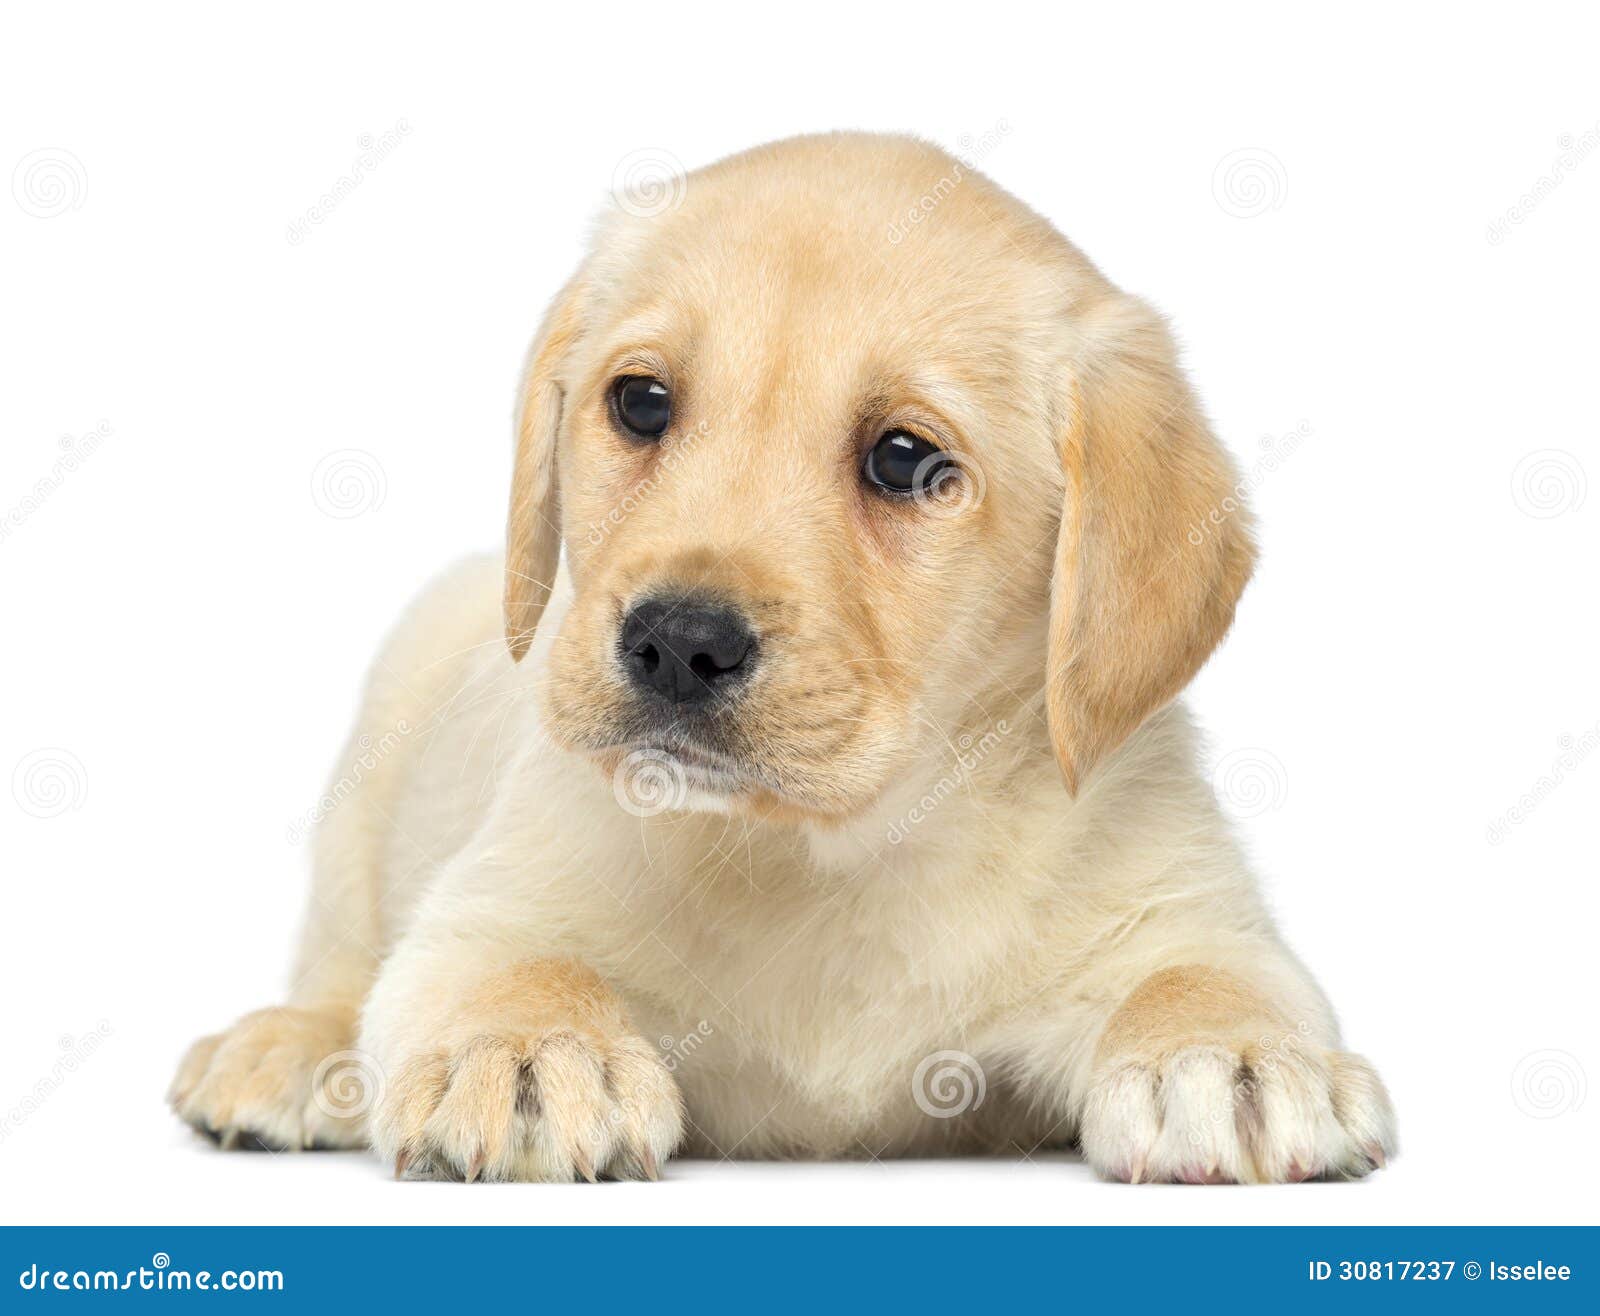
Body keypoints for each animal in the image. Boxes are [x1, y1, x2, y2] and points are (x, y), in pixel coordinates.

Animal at [168, 131, 1401, 1184]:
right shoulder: (487, 902)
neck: (830, 851)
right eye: (641, 402)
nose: (676, 641)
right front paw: (519, 1051)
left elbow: (1205, 972)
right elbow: (515, 961)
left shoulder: (1179, 900)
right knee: (340, 961)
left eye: (905, 459)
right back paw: (285, 1050)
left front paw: (1231, 1055)